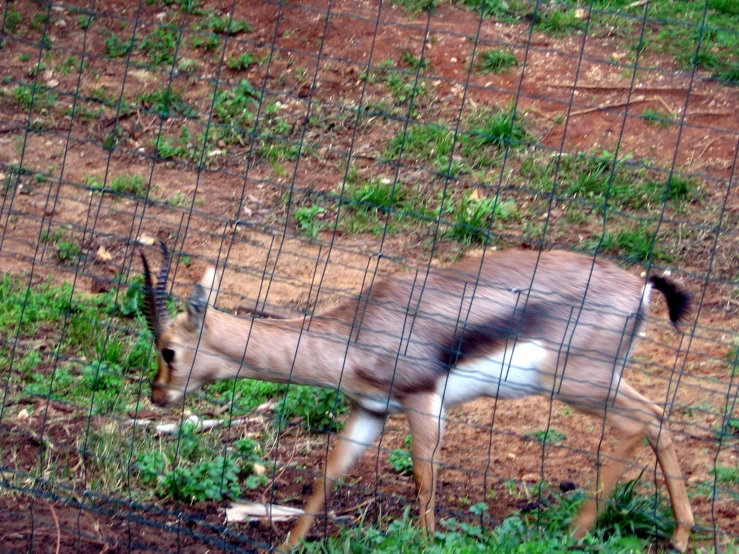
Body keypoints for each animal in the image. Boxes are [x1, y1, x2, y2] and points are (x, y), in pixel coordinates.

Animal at [142, 242, 696, 548]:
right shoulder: (370, 411)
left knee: (637, 423)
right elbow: (329, 473)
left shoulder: (423, 403)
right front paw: (287, 547)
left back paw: (573, 535)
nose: (157, 395)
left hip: (576, 384)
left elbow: (425, 480)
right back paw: (679, 534)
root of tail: (642, 289)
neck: (354, 335)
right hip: (601, 381)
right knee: (657, 417)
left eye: (169, 350)